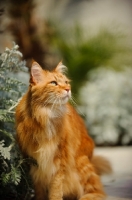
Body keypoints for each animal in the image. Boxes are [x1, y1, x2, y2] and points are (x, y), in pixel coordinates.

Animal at [15, 61, 111, 199]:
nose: (68, 89)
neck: (45, 114)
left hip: (81, 163)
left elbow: (56, 188)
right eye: (54, 83)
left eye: (66, 82)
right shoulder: (35, 162)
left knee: (97, 191)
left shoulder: (60, 160)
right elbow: (39, 189)